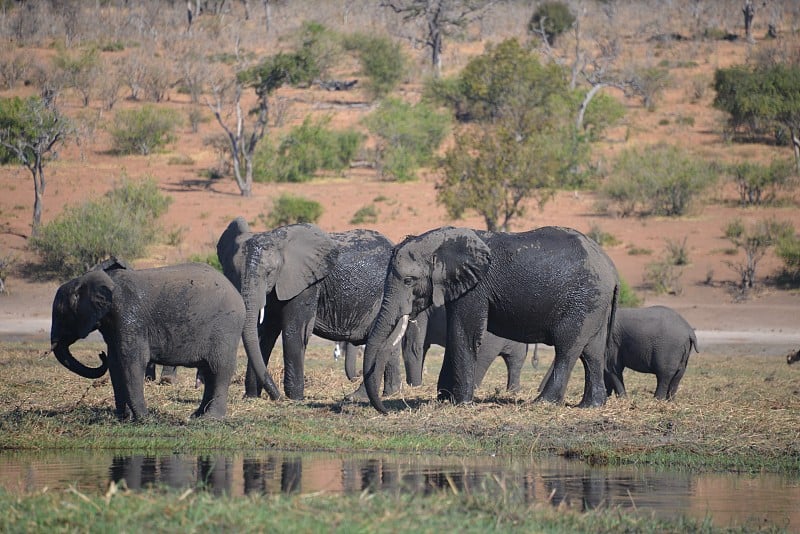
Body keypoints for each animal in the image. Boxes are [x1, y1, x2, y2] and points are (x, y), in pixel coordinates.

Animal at [48, 260, 260, 422]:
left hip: (226, 328)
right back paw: (196, 416)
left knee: (219, 369)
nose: (100, 355)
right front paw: (123, 418)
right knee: (208, 371)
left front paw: (144, 419)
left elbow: (132, 361)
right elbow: (116, 363)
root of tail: (237, 293)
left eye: (61, 314)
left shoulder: (129, 316)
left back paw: (211, 419)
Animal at [217, 218, 406, 402]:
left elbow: (294, 330)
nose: (277, 397)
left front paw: (295, 398)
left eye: (270, 272)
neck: (278, 240)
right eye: (233, 271)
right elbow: (264, 332)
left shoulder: (305, 283)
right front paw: (250, 397)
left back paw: (359, 397)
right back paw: (390, 393)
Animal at [362, 226, 620, 414]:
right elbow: (456, 334)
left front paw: (460, 403)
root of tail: (612, 269)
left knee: (568, 347)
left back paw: (543, 402)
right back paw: (591, 405)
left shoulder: (476, 288)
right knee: (592, 351)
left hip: (583, 299)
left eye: (408, 280)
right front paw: (445, 398)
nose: (386, 409)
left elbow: (464, 334)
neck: (441, 240)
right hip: (594, 303)